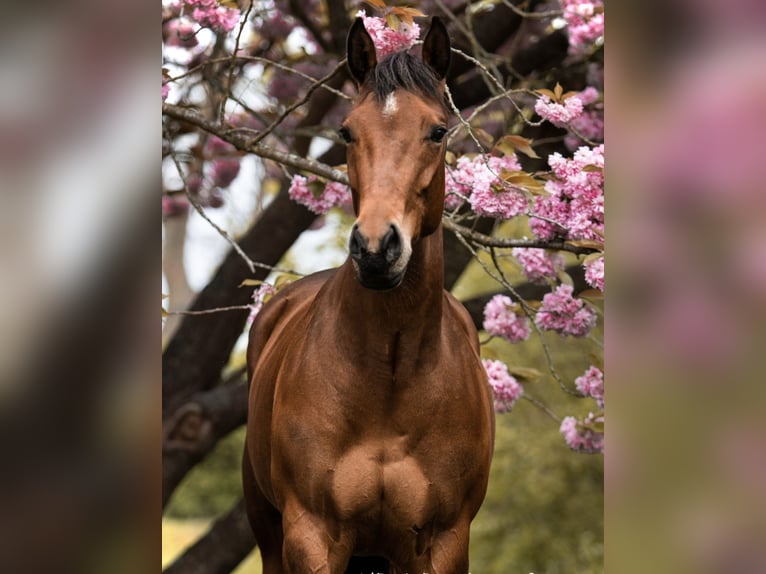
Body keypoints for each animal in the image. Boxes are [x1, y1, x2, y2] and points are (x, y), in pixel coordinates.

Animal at [246, 16, 498, 574]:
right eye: (347, 131)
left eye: (438, 131)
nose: (377, 249)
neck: (391, 378)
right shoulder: (311, 535)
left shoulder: (444, 540)